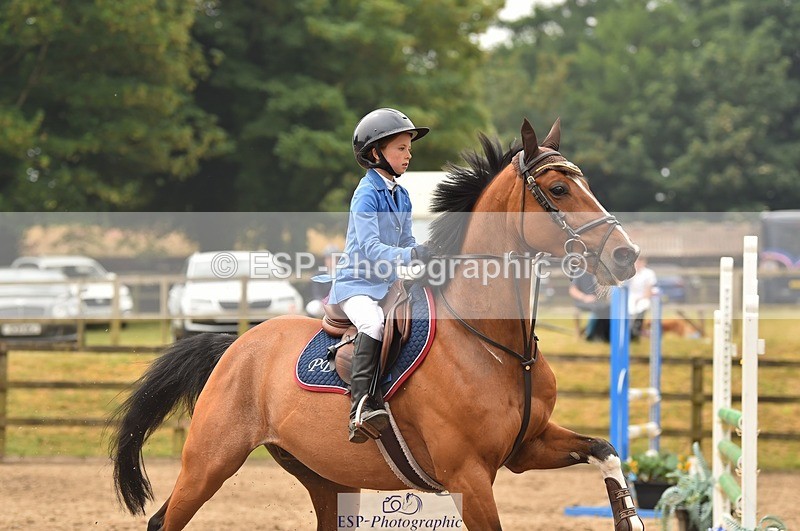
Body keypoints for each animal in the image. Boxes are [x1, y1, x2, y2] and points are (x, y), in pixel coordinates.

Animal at [110, 118, 645, 531]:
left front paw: (629, 517)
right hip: (210, 461)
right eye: (558, 189)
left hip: (325, 476)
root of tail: (236, 345)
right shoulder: (468, 476)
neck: (496, 345)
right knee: (165, 520)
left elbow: (605, 449)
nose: (627, 256)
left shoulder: (527, 447)